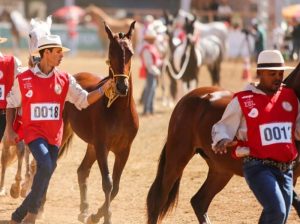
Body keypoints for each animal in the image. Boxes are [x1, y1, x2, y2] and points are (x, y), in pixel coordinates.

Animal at [58, 21, 138, 224]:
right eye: (111, 53)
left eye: (131, 53)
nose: (122, 87)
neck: (119, 111)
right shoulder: (103, 146)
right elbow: (108, 184)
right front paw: (106, 217)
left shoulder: (124, 150)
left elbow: (116, 186)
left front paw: (95, 216)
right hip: (67, 135)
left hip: (91, 145)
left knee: (82, 170)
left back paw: (84, 210)